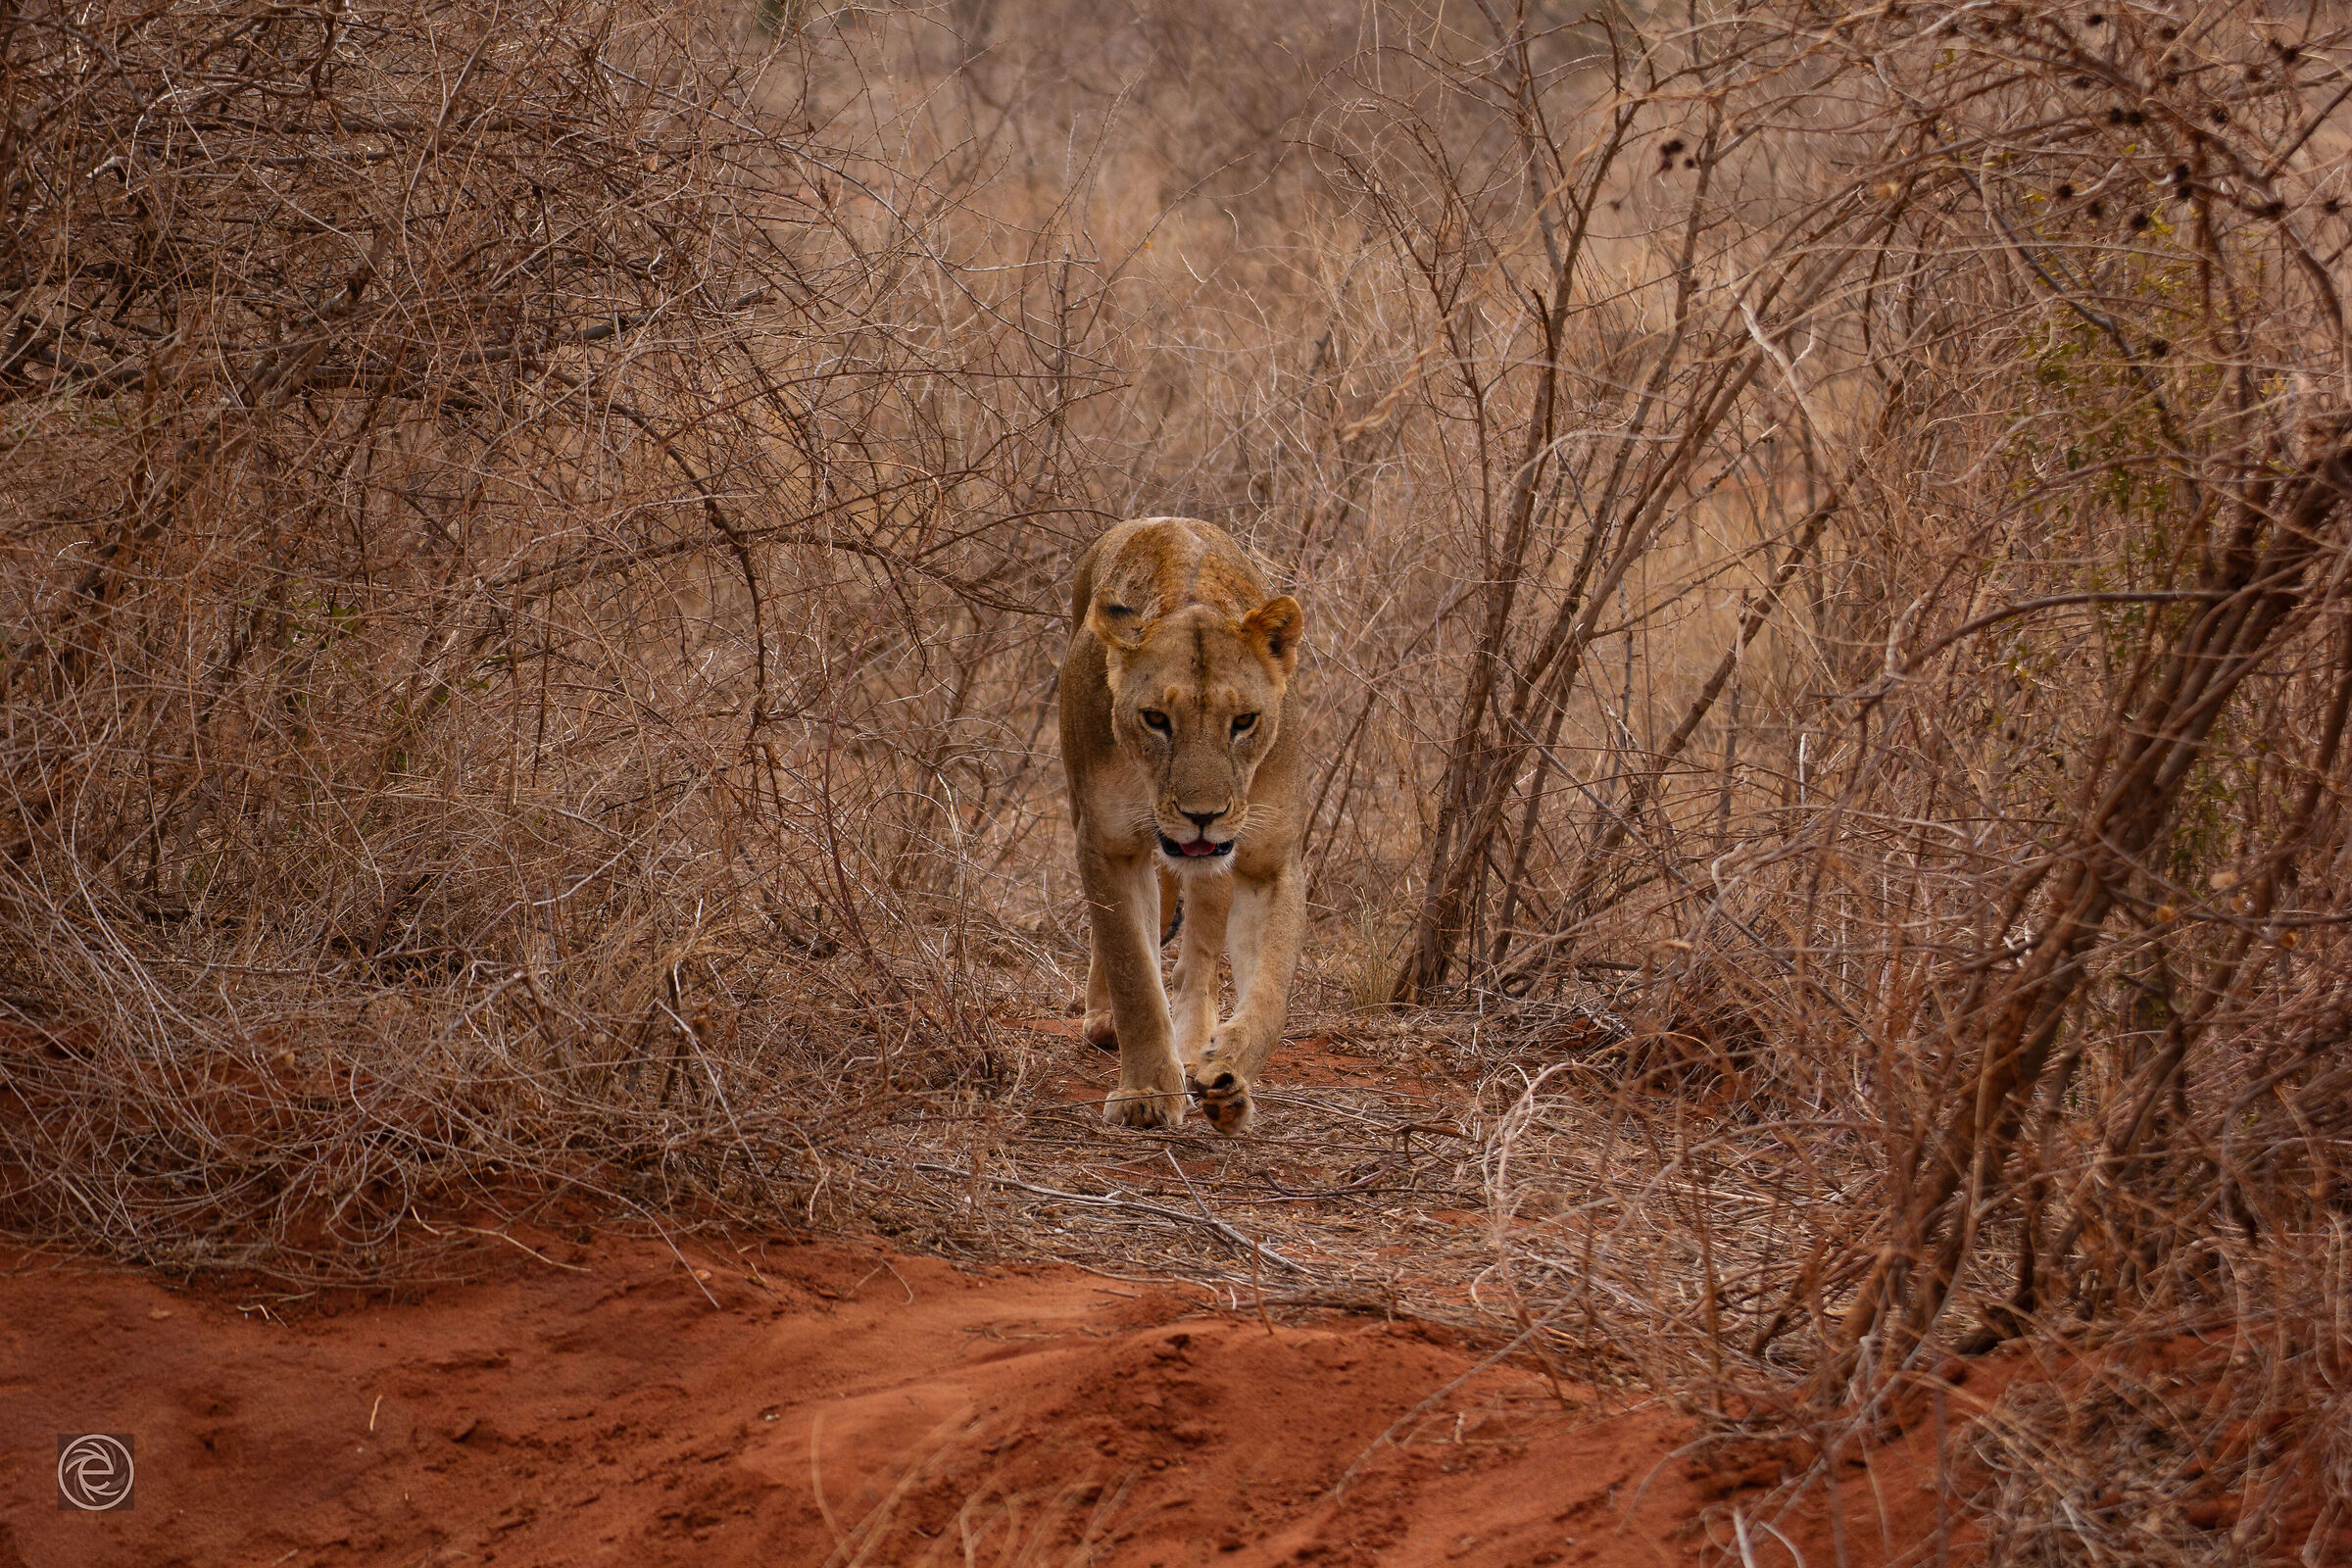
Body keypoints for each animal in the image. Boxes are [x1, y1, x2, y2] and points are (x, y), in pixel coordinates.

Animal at [1057, 517, 1308, 1133]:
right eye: (1155, 719)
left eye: (1243, 721)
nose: (1202, 816)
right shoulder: (1107, 846)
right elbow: (1134, 973)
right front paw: (1146, 1093)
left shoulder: (1270, 863)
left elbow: (1271, 990)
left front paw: (1229, 1073)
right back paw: (1105, 1022)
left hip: (1219, 865)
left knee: (1200, 952)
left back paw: (1196, 1044)